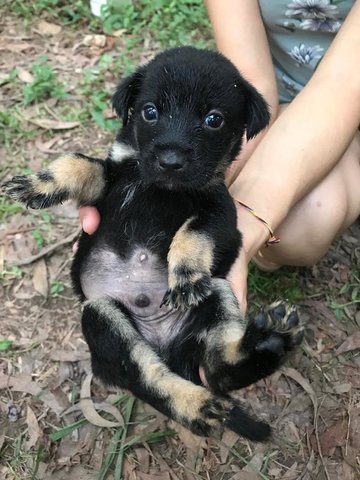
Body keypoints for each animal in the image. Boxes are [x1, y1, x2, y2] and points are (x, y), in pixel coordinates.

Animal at [5, 47, 304, 442]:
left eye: (213, 119)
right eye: (150, 112)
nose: (170, 161)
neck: (161, 190)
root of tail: (166, 344)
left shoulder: (222, 215)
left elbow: (193, 233)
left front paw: (186, 274)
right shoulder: (108, 183)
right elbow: (79, 163)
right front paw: (40, 183)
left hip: (218, 293)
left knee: (216, 371)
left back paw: (264, 341)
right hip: (104, 318)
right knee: (152, 378)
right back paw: (205, 398)